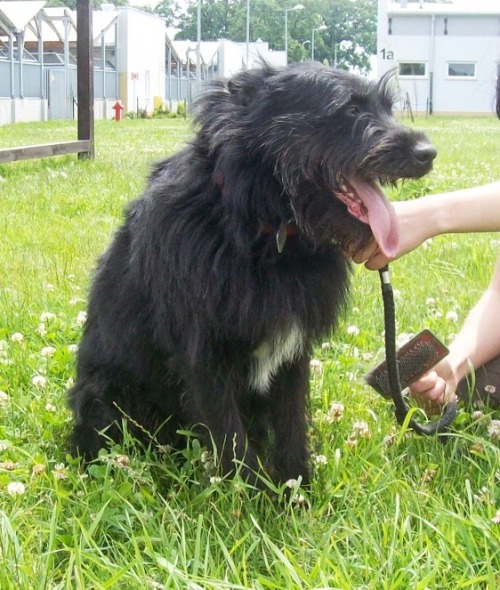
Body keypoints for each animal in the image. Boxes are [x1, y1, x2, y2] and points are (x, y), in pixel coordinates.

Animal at [68, 63, 436, 486]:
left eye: (388, 108)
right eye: (350, 110)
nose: (427, 153)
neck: (262, 226)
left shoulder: (293, 351)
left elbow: (292, 425)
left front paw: (297, 488)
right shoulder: (204, 354)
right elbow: (231, 438)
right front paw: (247, 496)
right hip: (105, 394)